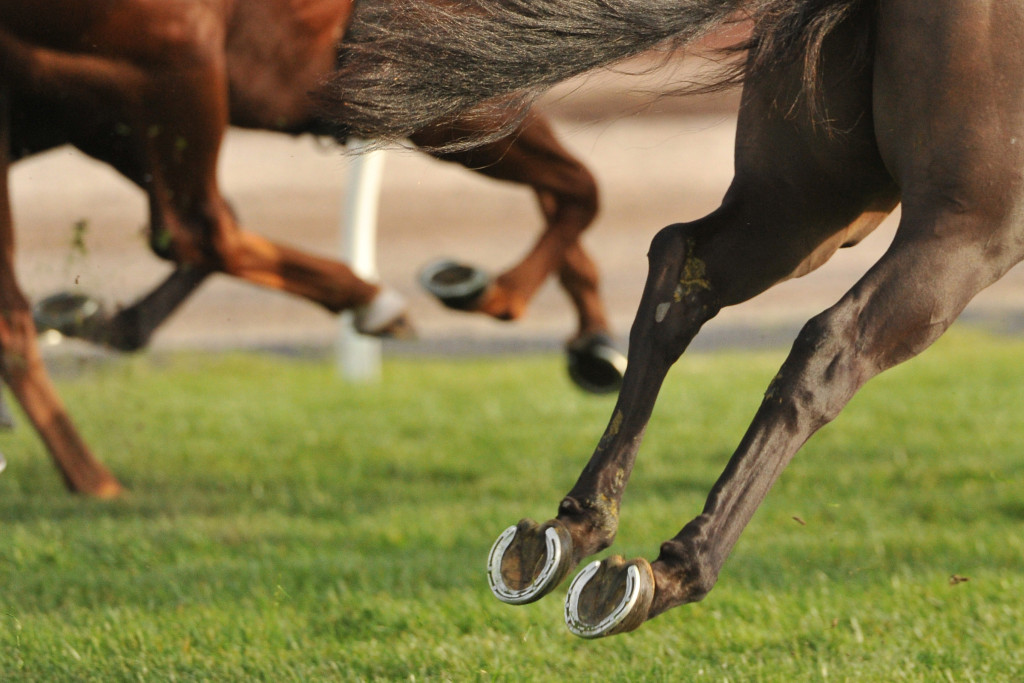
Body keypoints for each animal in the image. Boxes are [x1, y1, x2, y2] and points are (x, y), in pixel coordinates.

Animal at [0, 1, 626, 497]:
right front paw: (500, 295)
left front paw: (594, 341)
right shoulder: (445, 86)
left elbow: (567, 189)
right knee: (200, 230)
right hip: (176, 63)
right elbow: (581, 188)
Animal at [331, 0, 1024, 638]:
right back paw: (675, 569)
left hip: (811, 197)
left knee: (680, 267)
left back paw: (574, 527)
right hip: (968, 224)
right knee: (832, 344)